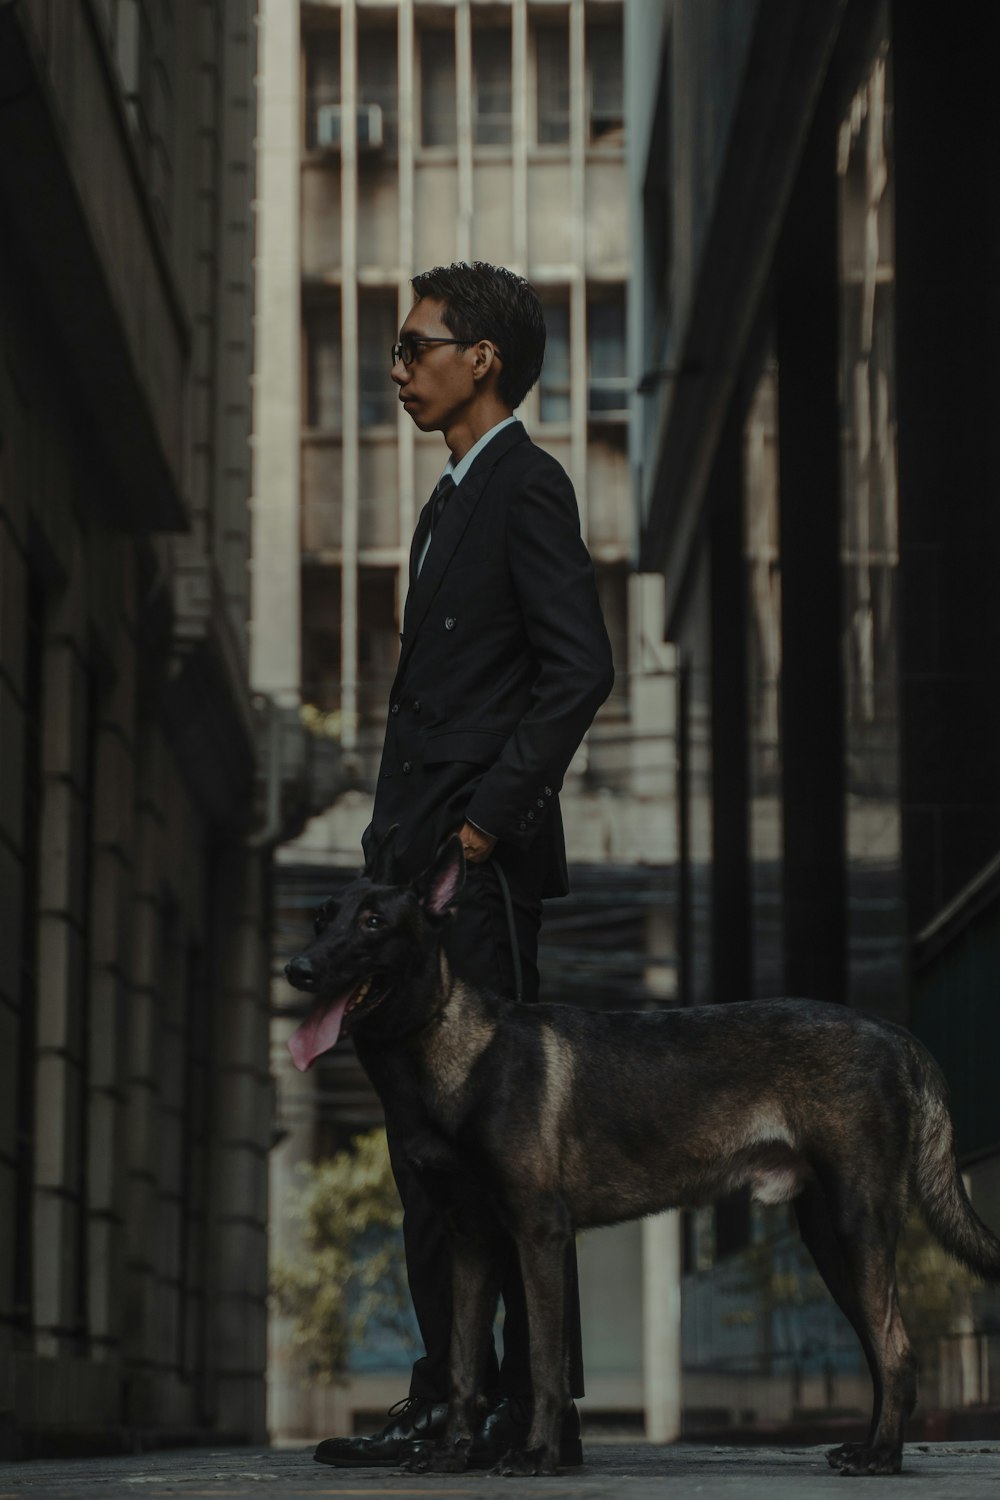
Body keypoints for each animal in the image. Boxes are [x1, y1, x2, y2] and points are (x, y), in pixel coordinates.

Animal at [281, 834, 1000, 1476]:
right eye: (321, 918)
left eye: (374, 922)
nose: (297, 969)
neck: (447, 1049)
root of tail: (894, 1031)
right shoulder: (472, 1242)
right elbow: (461, 1363)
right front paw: (453, 1453)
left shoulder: (538, 1235)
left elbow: (543, 1361)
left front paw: (537, 1455)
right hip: (830, 1240)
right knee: (882, 1349)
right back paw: (872, 1447)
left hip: (857, 1223)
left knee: (897, 1349)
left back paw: (882, 1457)